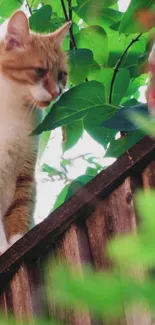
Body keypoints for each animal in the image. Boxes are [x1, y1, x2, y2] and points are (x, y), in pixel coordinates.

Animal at [0, 9, 70, 253]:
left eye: (61, 75)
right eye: (39, 71)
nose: (57, 93)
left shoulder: (25, 172)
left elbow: (20, 209)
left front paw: (16, 241)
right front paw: (2, 249)